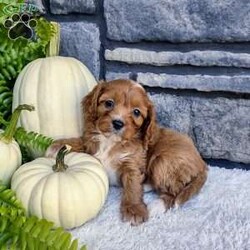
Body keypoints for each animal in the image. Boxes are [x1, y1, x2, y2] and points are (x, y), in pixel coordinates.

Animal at [47, 79, 208, 226]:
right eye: (109, 103)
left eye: (136, 112)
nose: (118, 123)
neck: (111, 141)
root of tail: (203, 164)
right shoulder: (91, 145)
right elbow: (81, 142)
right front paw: (58, 146)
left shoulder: (132, 164)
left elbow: (132, 187)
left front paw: (134, 210)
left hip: (161, 161)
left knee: (174, 192)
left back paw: (156, 205)